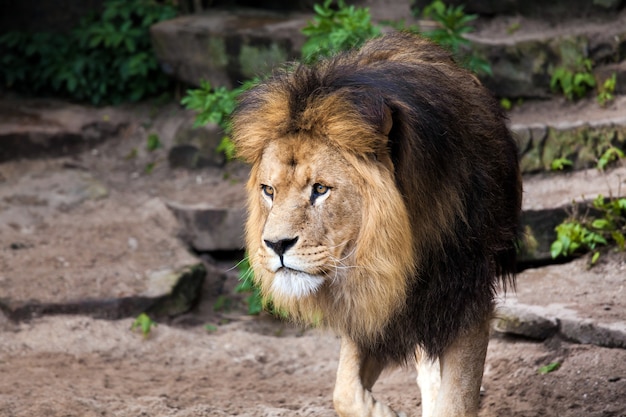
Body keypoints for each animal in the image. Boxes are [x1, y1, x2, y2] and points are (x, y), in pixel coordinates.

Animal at [232, 30, 520, 414]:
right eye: (269, 190)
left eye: (320, 189)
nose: (276, 245)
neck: (403, 252)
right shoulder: (371, 304)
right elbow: (343, 391)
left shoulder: (465, 297)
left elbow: (456, 401)